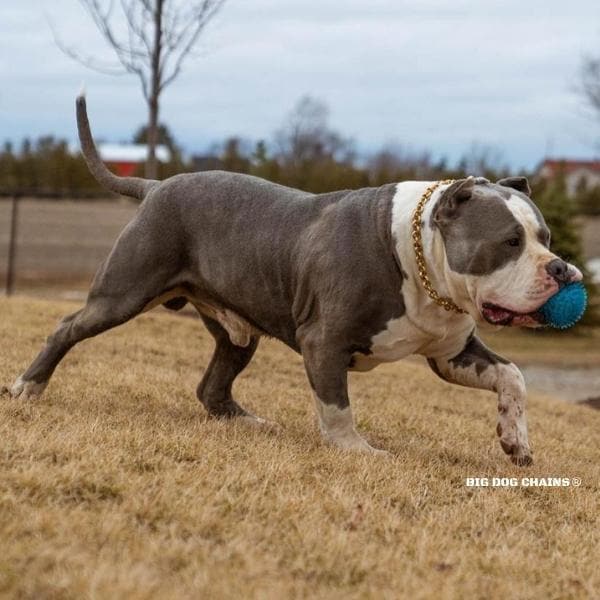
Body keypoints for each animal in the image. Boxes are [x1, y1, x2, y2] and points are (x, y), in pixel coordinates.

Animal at [8, 96, 580, 466]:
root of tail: (154, 185)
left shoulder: (451, 353)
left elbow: (513, 376)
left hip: (237, 330)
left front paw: (515, 440)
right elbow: (337, 405)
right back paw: (27, 387)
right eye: (510, 242)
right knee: (67, 327)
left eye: (547, 236)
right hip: (123, 292)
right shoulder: (323, 341)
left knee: (212, 384)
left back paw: (245, 421)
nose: (562, 269)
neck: (421, 264)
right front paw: (355, 451)